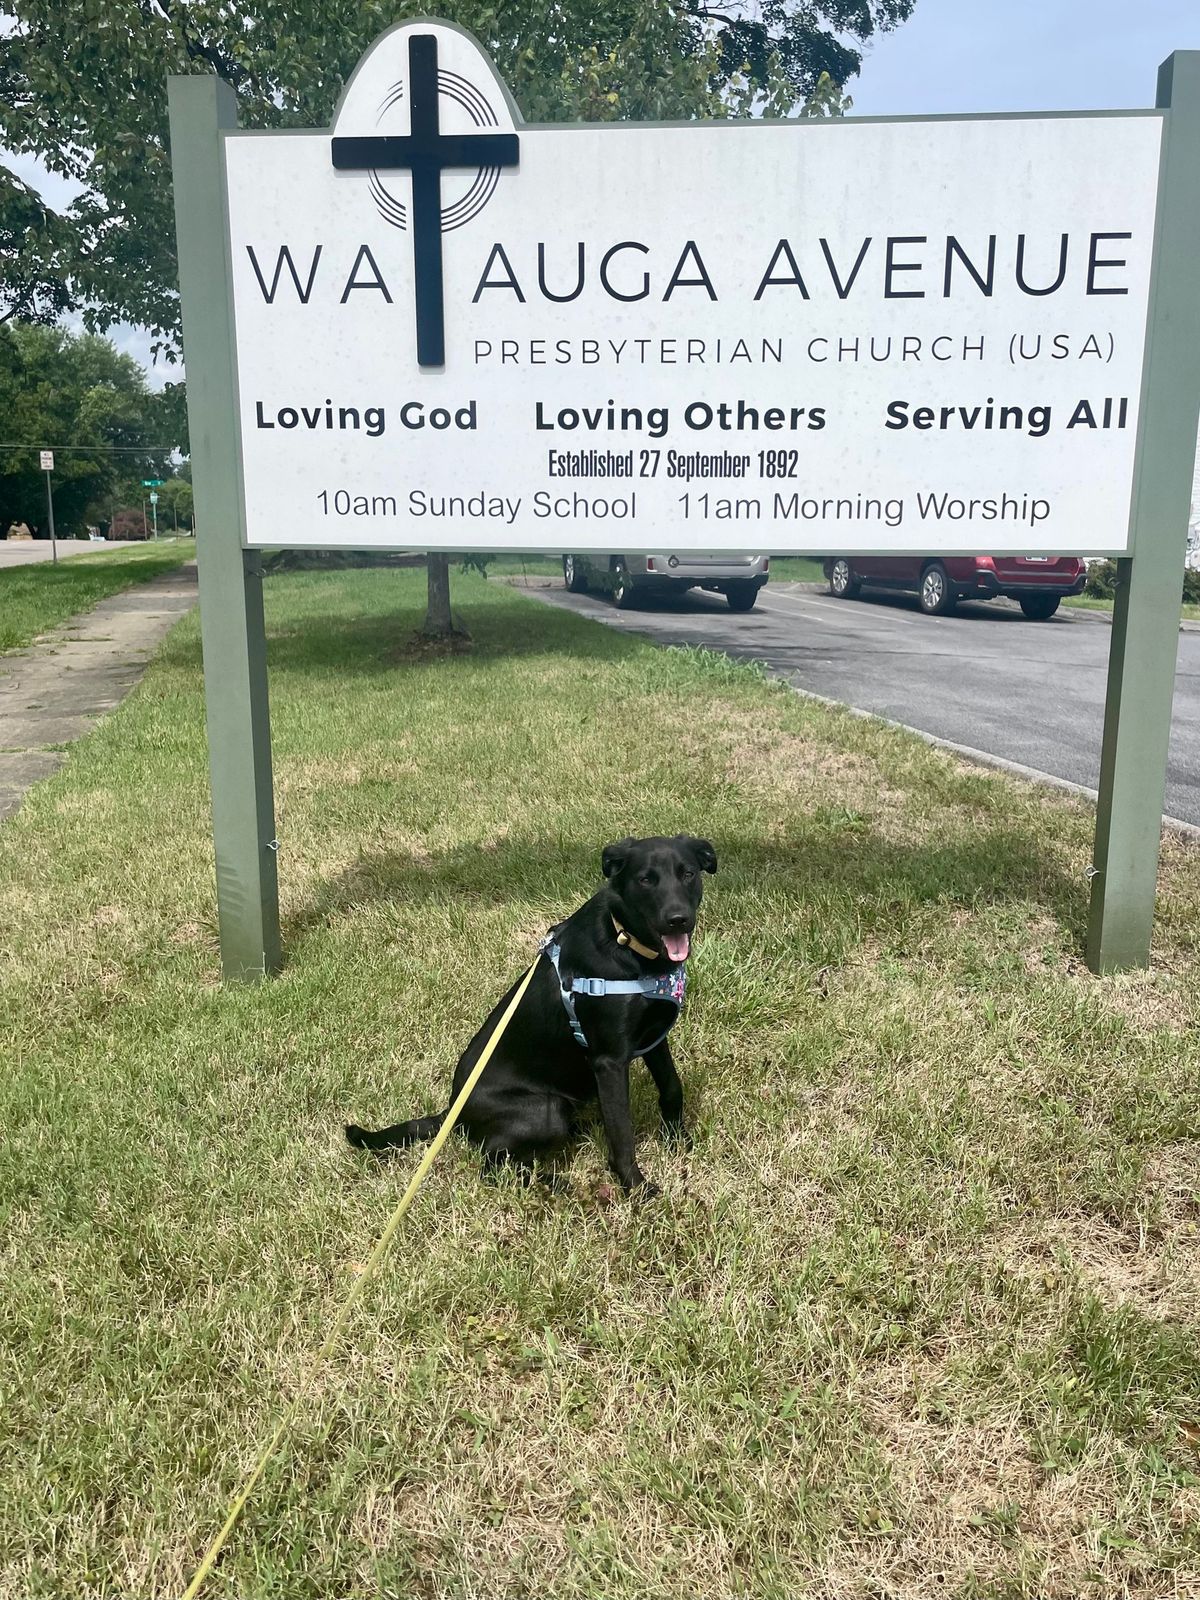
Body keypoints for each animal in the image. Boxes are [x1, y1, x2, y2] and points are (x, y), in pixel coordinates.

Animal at [342, 838, 720, 1203]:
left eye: (688, 874)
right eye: (645, 880)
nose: (678, 919)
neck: (625, 941)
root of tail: (453, 1113)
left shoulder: (654, 1037)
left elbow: (671, 1086)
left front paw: (677, 1141)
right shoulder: (609, 1062)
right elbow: (621, 1134)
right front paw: (637, 1188)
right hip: (546, 1110)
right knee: (492, 1166)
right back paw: (554, 1183)